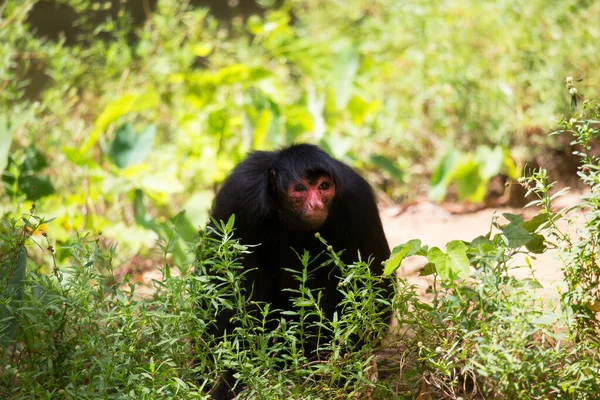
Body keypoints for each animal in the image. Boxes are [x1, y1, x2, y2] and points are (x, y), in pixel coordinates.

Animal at [209, 143, 392, 396]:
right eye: (300, 189)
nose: (316, 204)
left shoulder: (357, 201)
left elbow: (378, 288)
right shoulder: (239, 192)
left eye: (323, 187)